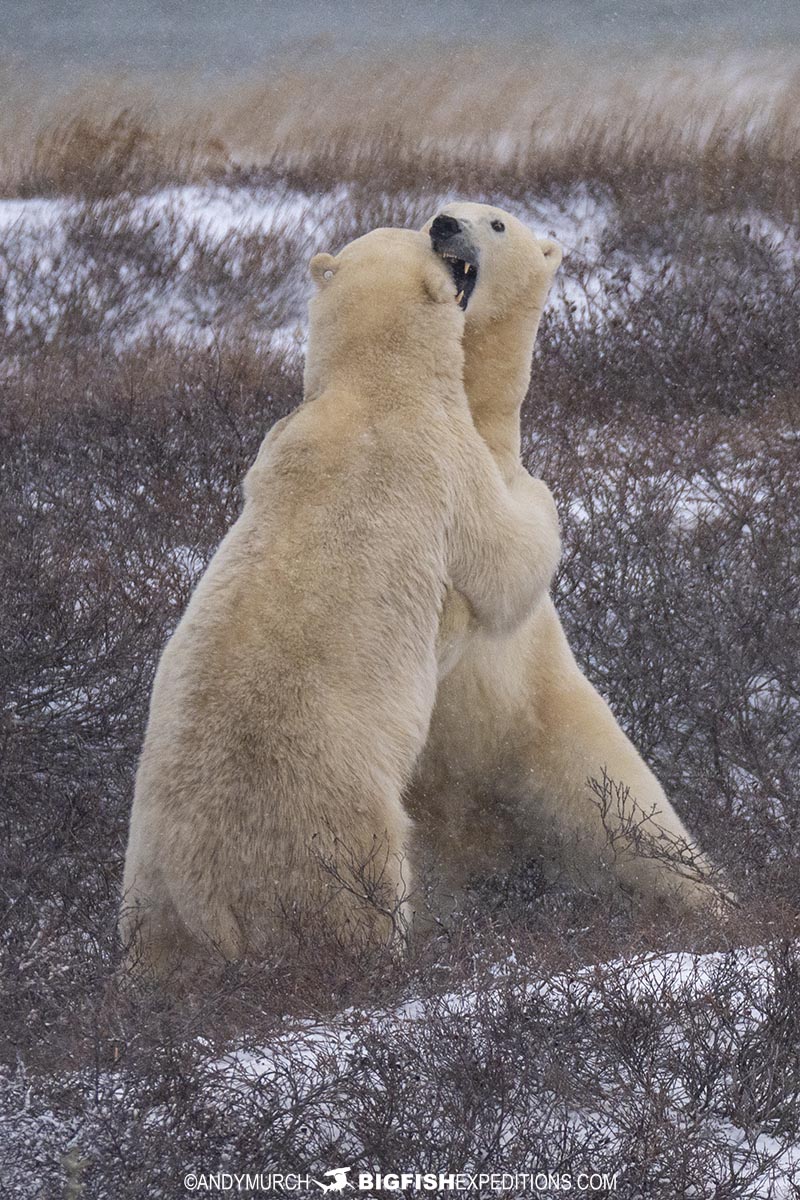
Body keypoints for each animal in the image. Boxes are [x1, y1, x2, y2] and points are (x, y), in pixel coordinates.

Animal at [119, 226, 562, 978]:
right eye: (432, 243)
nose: (444, 226)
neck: (369, 391)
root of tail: (207, 896)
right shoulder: (445, 464)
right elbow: (504, 562)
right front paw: (540, 493)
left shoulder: (277, 440)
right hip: (335, 830)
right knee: (363, 900)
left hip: (148, 883)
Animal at [407, 202, 727, 918]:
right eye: (444, 205)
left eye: (496, 222)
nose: (444, 224)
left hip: (567, 741)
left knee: (646, 833)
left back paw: (714, 907)